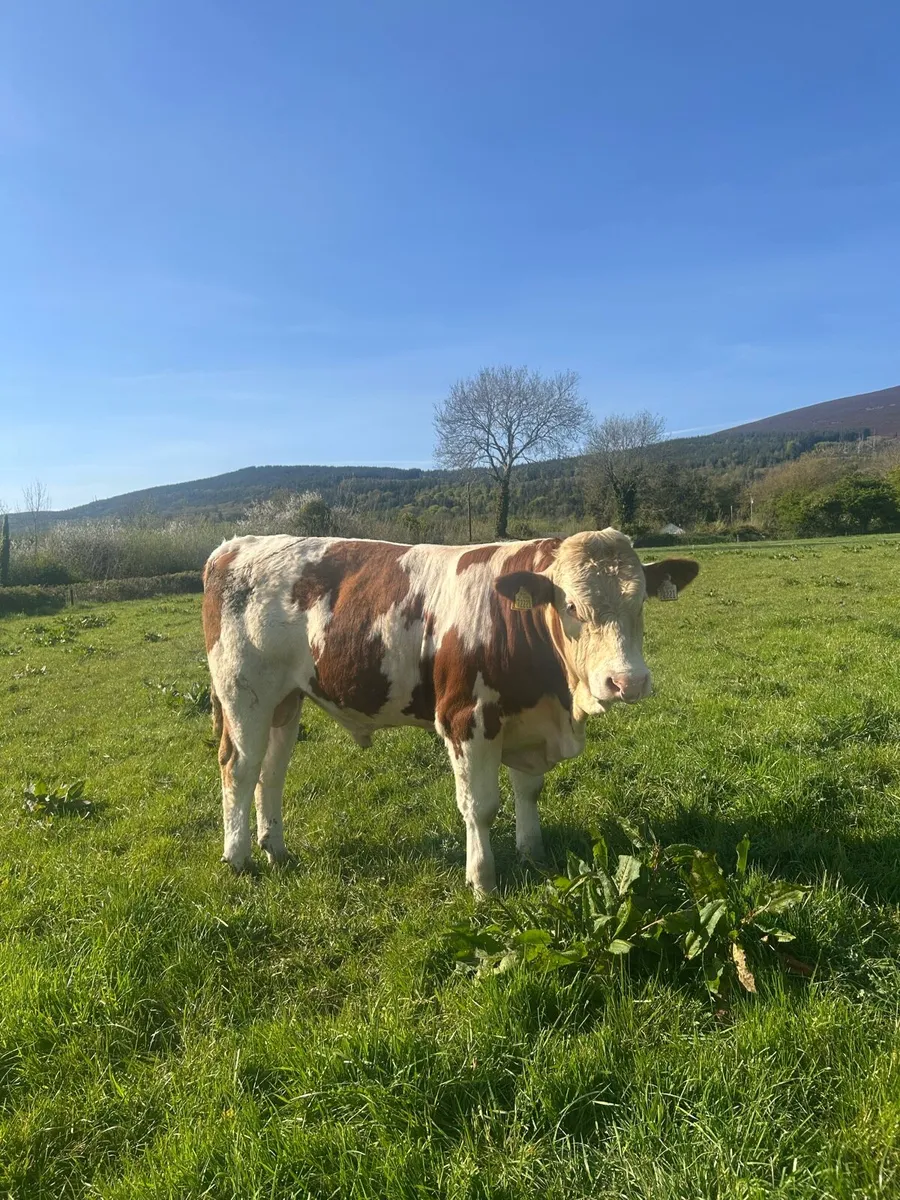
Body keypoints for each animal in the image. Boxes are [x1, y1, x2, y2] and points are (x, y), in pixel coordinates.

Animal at [202, 530, 699, 895]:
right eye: (572, 606)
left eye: (641, 602)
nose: (627, 682)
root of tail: (233, 546)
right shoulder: (466, 719)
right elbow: (480, 807)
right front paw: (482, 882)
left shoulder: (525, 722)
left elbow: (528, 792)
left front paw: (532, 854)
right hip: (243, 694)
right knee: (240, 768)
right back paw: (238, 857)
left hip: (286, 700)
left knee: (271, 771)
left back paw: (276, 849)